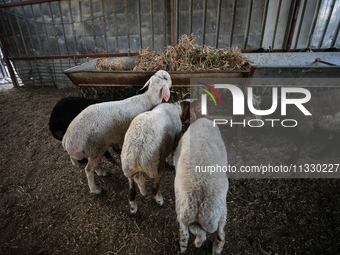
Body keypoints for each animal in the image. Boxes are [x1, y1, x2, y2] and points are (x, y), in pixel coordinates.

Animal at [175, 118, 228, 254]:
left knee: (187, 231)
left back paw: (188, 245)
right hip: (217, 214)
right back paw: (214, 249)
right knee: (219, 235)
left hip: (184, 212)